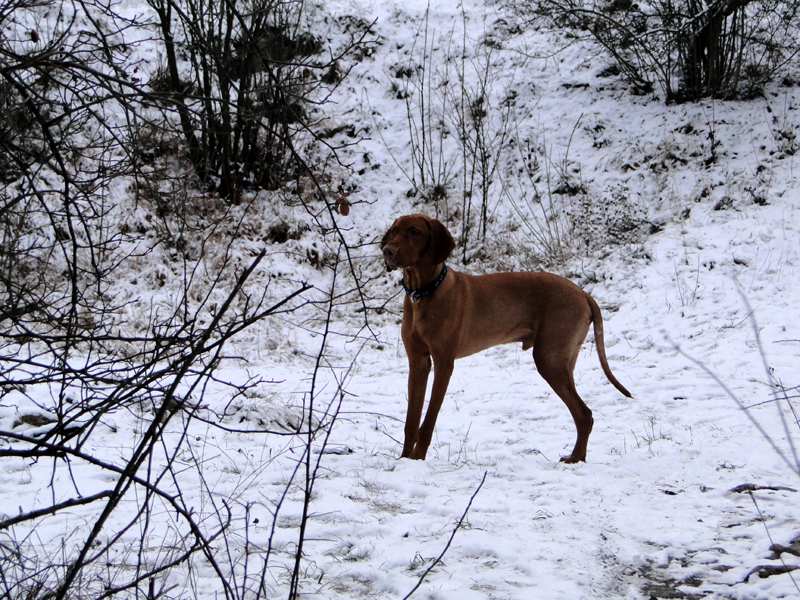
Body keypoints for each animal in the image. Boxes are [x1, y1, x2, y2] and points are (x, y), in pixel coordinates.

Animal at [382, 213, 632, 462]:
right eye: (394, 231)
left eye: (415, 232)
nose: (387, 251)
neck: (423, 293)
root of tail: (583, 293)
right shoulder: (418, 363)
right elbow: (411, 421)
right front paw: (404, 460)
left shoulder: (444, 364)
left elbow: (428, 420)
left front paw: (417, 459)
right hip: (562, 359)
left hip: (549, 358)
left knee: (584, 413)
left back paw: (575, 459)